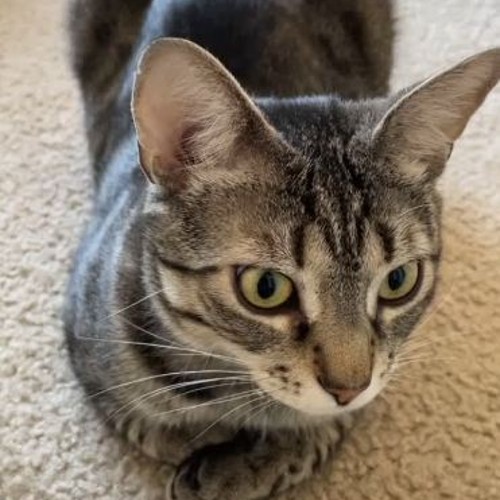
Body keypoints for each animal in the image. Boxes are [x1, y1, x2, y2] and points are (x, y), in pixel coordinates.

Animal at [64, 1, 498, 498]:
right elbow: (142, 417)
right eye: (266, 288)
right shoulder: (85, 340)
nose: (349, 388)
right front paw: (194, 438)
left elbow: (318, 428)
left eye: (398, 281)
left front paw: (241, 467)